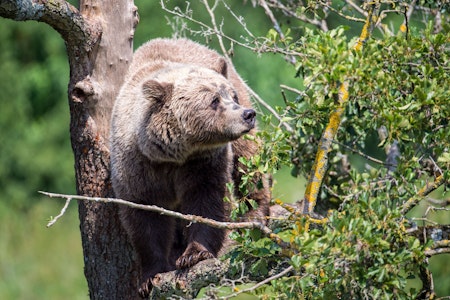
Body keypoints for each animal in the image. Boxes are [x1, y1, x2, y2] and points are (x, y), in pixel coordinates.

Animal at [110, 37, 268, 296]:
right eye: (214, 101)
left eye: (231, 97)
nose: (247, 114)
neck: (174, 154)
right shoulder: (137, 167)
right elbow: (145, 216)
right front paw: (150, 276)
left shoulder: (203, 163)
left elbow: (207, 201)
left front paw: (194, 254)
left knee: (249, 164)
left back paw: (255, 212)